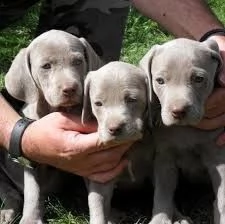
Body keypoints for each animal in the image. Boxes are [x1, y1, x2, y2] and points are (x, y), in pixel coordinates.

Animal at [0, 29, 103, 224]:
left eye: (78, 62)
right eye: (46, 66)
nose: (70, 89)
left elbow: (97, 198)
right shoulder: (30, 158)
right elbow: (33, 191)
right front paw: (31, 219)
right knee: (9, 190)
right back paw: (7, 211)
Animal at [139, 38, 225, 224]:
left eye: (198, 79)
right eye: (160, 81)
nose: (178, 111)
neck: (185, 129)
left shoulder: (218, 157)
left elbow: (223, 197)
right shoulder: (164, 159)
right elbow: (163, 194)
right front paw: (160, 220)